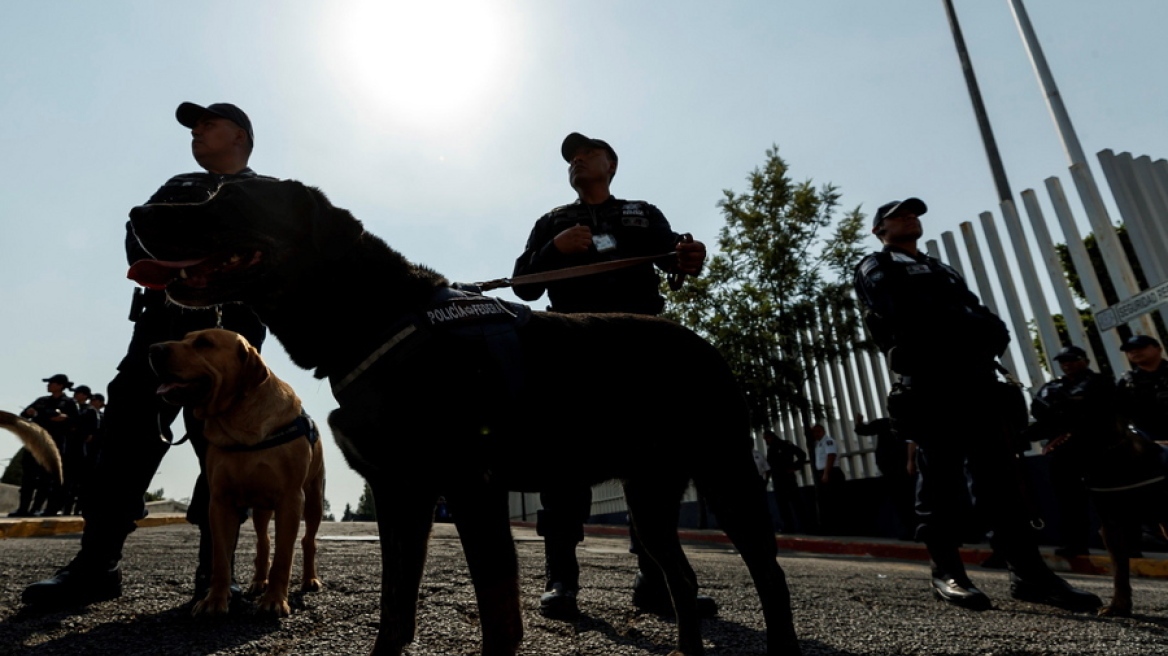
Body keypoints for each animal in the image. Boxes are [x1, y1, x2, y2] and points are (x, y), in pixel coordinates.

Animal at [149, 329, 329, 616]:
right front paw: (214, 599)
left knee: (308, 541)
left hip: (313, 499)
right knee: (263, 543)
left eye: (204, 343)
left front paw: (274, 600)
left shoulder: (291, 499)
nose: (153, 349)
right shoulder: (220, 501)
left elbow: (283, 557)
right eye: (185, 337)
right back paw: (258, 582)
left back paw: (310, 579)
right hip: (261, 509)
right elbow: (221, 558)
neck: (237, 419)